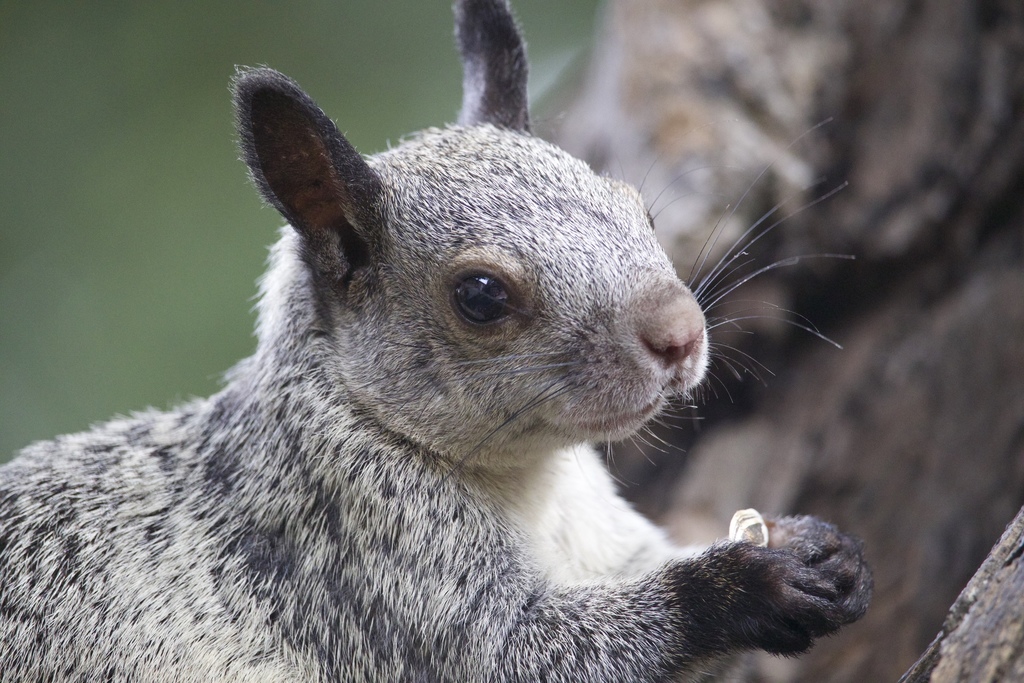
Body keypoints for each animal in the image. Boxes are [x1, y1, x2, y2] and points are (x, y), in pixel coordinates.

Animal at [0, 0, 871, 680]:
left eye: (639, 208)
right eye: (480, 296)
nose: (679, 334)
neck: (534, 483)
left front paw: (815, 547)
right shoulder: (363, 573)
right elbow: (527, 654)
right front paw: (747, 584)